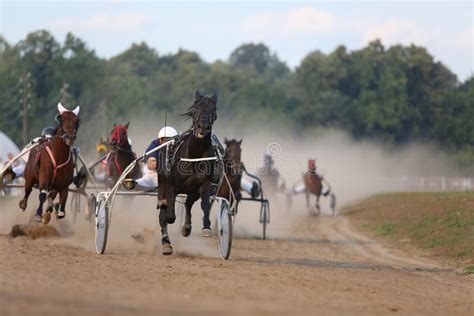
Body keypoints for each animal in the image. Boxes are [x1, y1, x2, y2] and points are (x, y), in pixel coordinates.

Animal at [158, 90, 219, 256]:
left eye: (214, 112)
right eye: (193, 111)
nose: (203, 128)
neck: (194, 156)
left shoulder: (205, 184)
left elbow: (205, 204)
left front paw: (206, 227)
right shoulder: (171, 186)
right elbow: (169, 215)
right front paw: (168, 218)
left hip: (193, 190)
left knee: (188, 202)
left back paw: (186, 227)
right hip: (162, 183)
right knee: (164, 210)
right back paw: (166, 244)